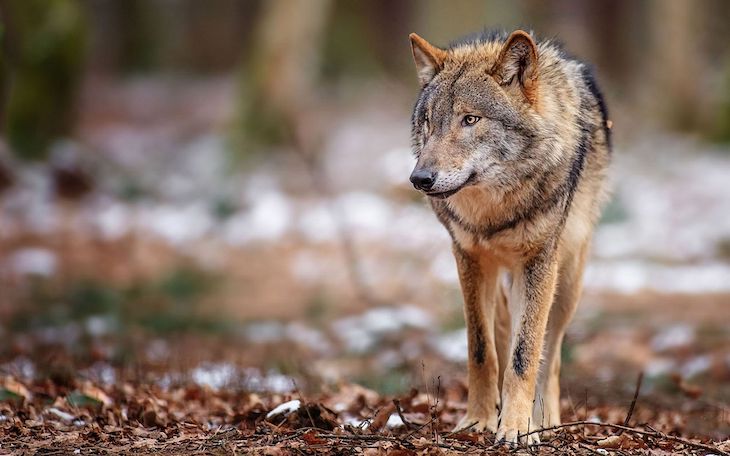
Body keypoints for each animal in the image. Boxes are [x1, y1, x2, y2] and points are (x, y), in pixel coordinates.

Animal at [407, 29, 611, 444]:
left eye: (470, 119)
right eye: (428, 122)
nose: (420, 179)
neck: (494, 212)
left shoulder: (538, 262)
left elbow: (525, 353)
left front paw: (518, 427)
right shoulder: (468, 257)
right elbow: (481, 349)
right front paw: (479, 420)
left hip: (566, 282)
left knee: (551, 352)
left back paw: (545, 419)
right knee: (502, 331)